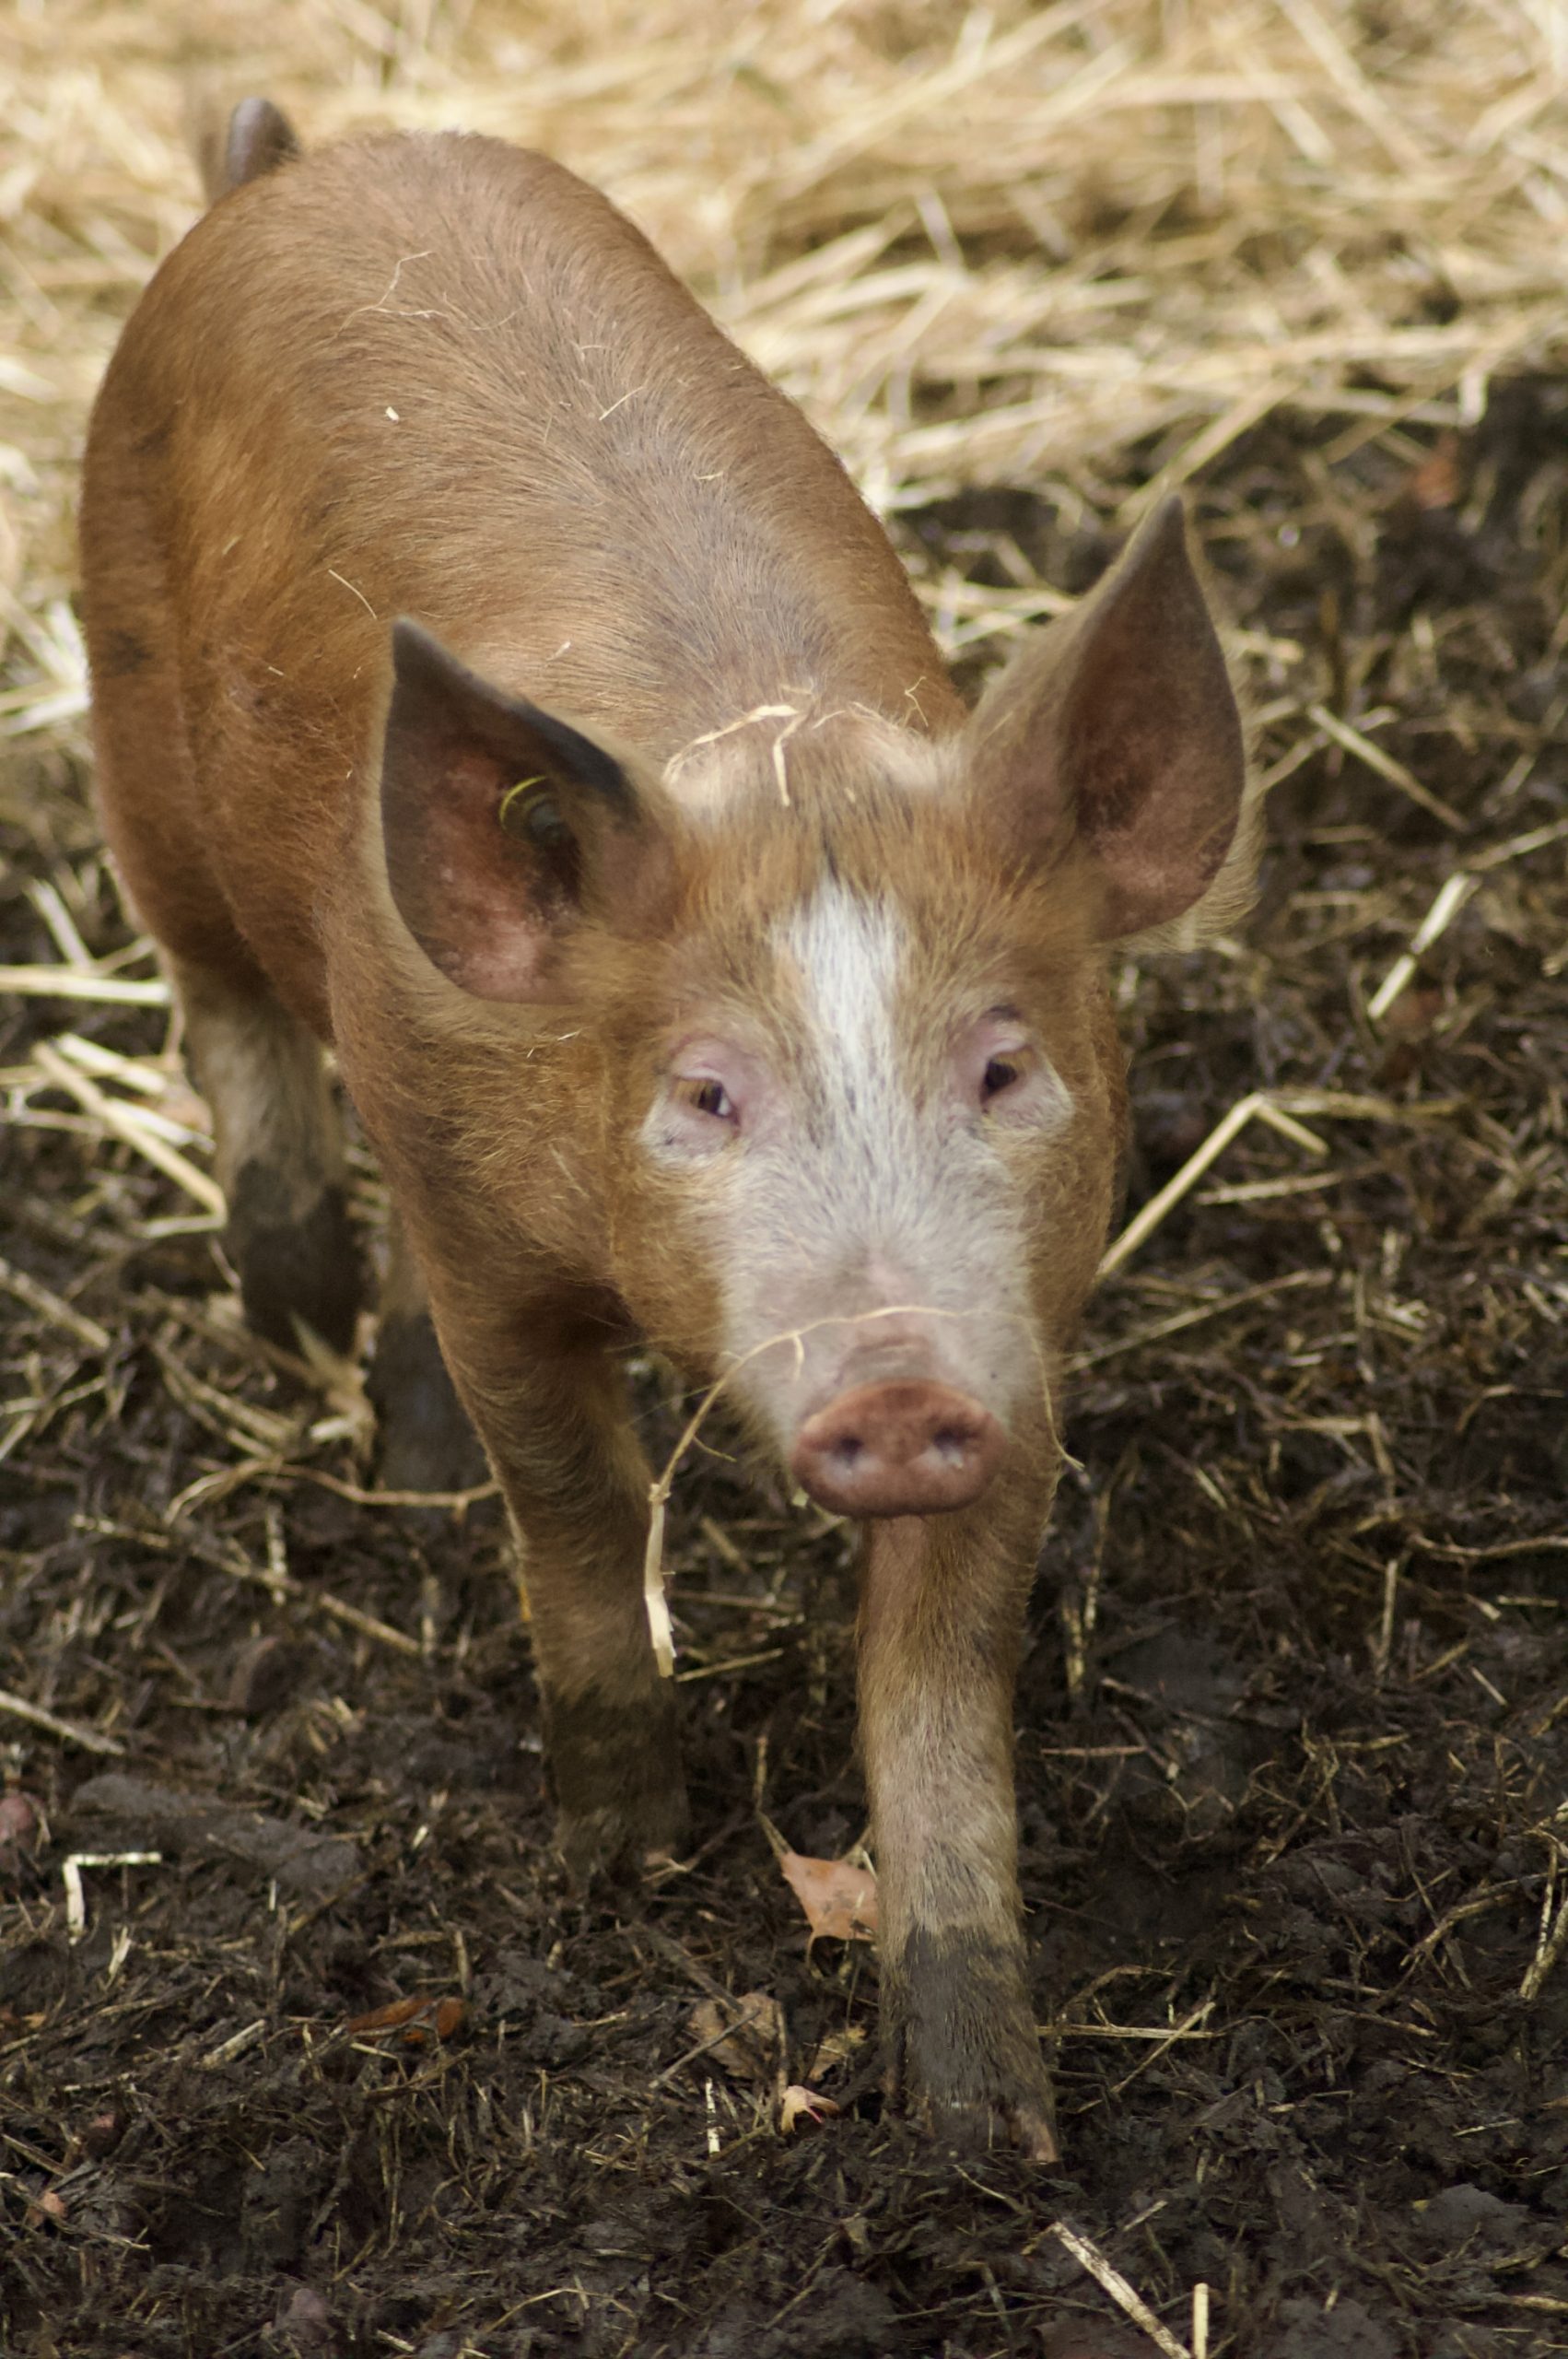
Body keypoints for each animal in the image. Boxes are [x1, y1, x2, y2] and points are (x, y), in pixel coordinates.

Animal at [78, 105, 1255, 2159]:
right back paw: (320, 1351)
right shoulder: (498, 1256)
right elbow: (570, 1500)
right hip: (128, 712)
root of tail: (289, 167)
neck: (773, 760)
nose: (890, 1385)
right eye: (705, 1092)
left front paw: (987, 2132)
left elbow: (938, 1675)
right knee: (224, 1006)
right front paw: (618, 1859)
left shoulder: (1016, 1330)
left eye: (1002, 1067)